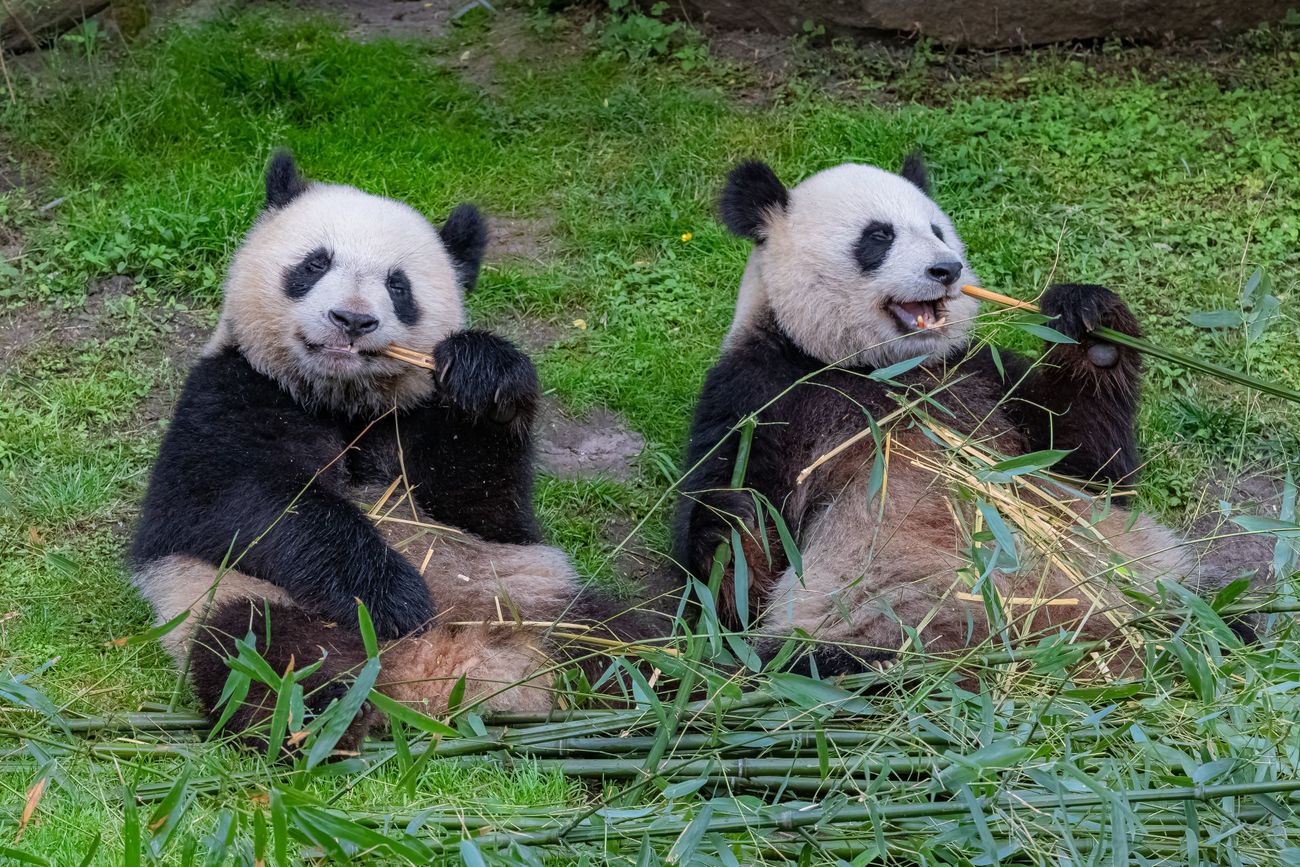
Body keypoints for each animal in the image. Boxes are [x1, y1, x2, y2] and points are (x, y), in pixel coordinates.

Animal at [129, 150, 642, 748]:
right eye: (315, 264)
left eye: (399, 286)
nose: (352, 320)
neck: (340, 399)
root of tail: (437, 684)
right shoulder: (227, 393)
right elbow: (235, 502)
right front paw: (395, 596)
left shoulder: (415, 421)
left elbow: (483, 504)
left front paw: (485, 376)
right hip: (235, 597)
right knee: (264, 653)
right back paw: (327, 717)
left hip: (538, 600)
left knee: (633, 640)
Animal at [670, 155, 1227, 675]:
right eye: (878, 237)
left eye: (937, 230)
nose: (947, 269)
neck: (881, 367)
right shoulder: (760, 391)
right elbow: (731, 577)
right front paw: (735, 533)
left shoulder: (976, 375)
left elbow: (1091, 471)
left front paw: (1092, 329)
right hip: (871, 634)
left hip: (1150, 588)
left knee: (1208, 618)